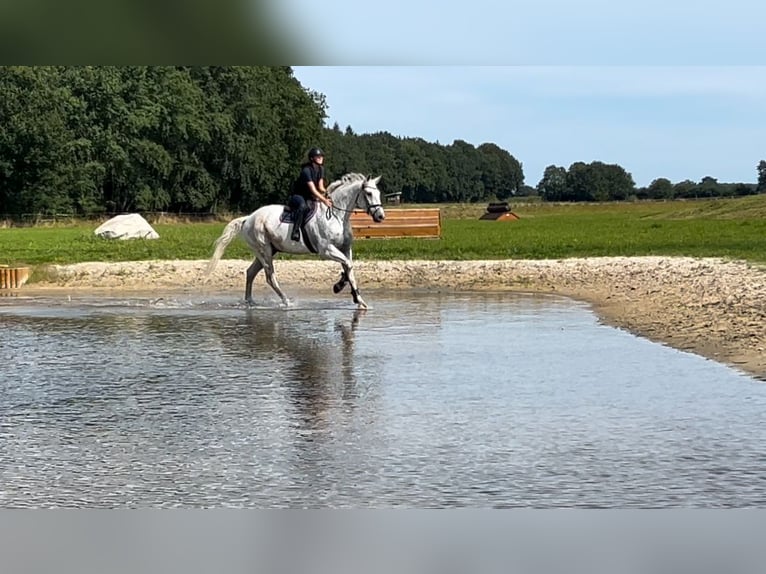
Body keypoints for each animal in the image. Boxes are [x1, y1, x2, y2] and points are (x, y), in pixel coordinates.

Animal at [206, 174, 388, 310]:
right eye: (368, 193)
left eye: (378, 193)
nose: (380, 216)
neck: (336, 215)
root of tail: (248, 218)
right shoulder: (326, 250)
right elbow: (348, 266)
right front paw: (343, 290)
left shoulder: (344, 248)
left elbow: (349, 269)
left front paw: (358, 299)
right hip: (264, 251)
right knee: (270, 277)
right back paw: (286, 302)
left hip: (266, 251)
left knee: (251, 272)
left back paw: (249, 303)